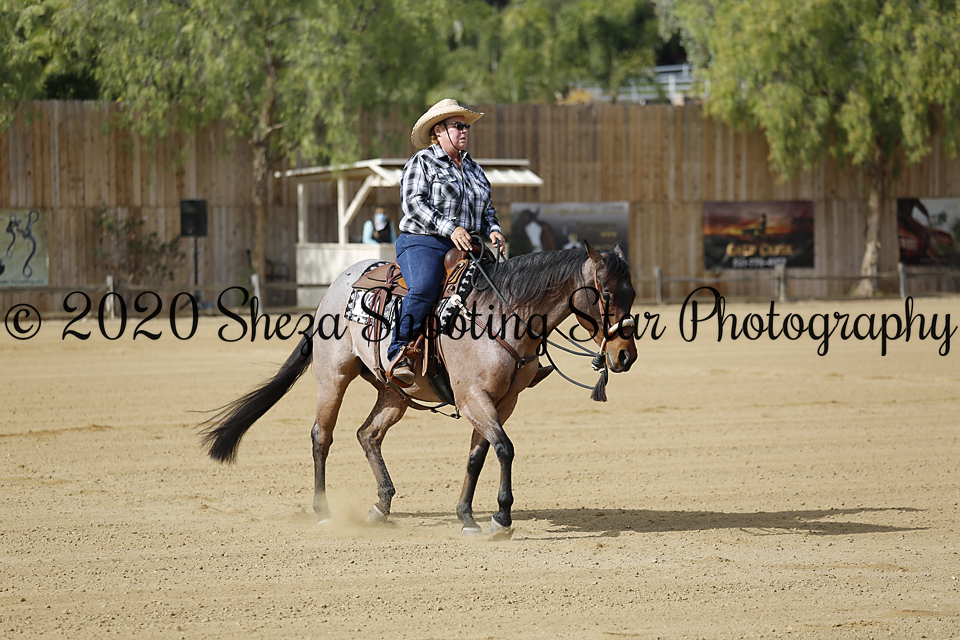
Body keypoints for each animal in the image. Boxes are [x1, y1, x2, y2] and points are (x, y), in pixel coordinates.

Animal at [200, 241, 638, 536]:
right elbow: (504, 448)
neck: (501, 313)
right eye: (607, 293)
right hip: (333, 377)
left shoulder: (502, 402)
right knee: (321, 436)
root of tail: (335, 286)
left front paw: (467, 516)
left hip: (393, 392)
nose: (625, 355)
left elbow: (478, 456)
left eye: (633, 293)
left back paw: (381, 506)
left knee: (368, 434)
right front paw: (501, 517)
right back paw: (323, 510)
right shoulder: (473, 398)